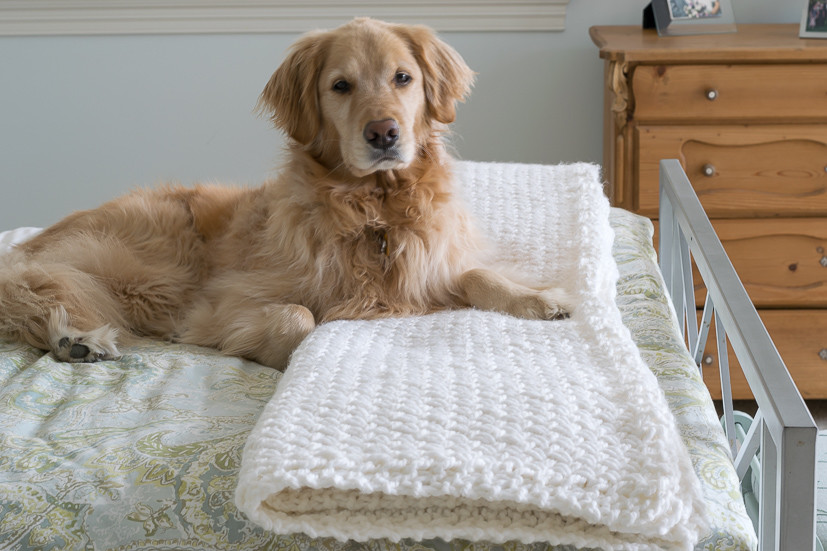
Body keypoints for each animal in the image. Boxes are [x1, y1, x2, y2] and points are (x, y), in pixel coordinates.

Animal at [0, 18, 572, 370]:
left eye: (403, 78)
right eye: (340, 86)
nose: (384, 133)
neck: (374, 210)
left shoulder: (434, 268)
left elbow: (478, 275)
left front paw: (538, 299)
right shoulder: (221, 302)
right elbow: (299, 317)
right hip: (152, 268)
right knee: (46, 293)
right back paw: (78, 339)